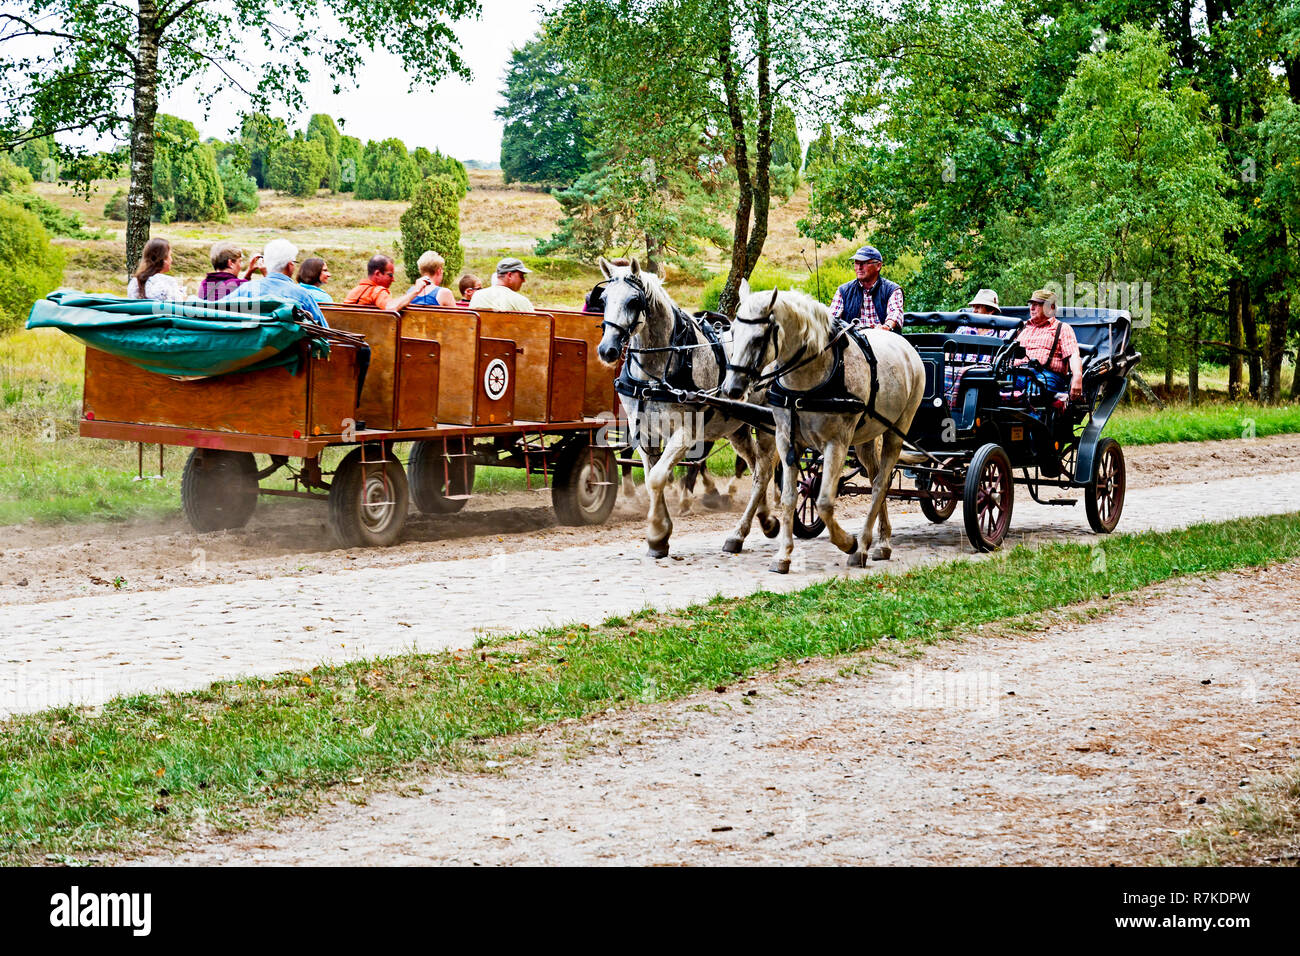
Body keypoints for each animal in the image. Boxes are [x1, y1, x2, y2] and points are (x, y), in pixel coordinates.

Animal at [595, 260, 774, 561]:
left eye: (633, 301)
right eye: (604, 299)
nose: (607, 350)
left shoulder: (686, 433)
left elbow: (659, 478)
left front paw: (658, 532)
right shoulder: (645, 434)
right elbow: (653, 478)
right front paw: (659, 536)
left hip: (770, 426)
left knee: (767, 468)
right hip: (737, 429)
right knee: (756, 468)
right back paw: (762, 519)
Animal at [722, 287, 925, 574]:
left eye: (759, 338)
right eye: (732, 332)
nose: (732, 389)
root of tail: (906, 347)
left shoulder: (836, 444)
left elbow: (825, 501)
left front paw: (848, 542)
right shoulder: (786, 441)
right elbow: (789, 498)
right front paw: (783, 555)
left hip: (896, 431)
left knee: (880, 484)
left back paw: (863, 545)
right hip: (864, 440)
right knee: (877, 479)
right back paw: (882, 542)